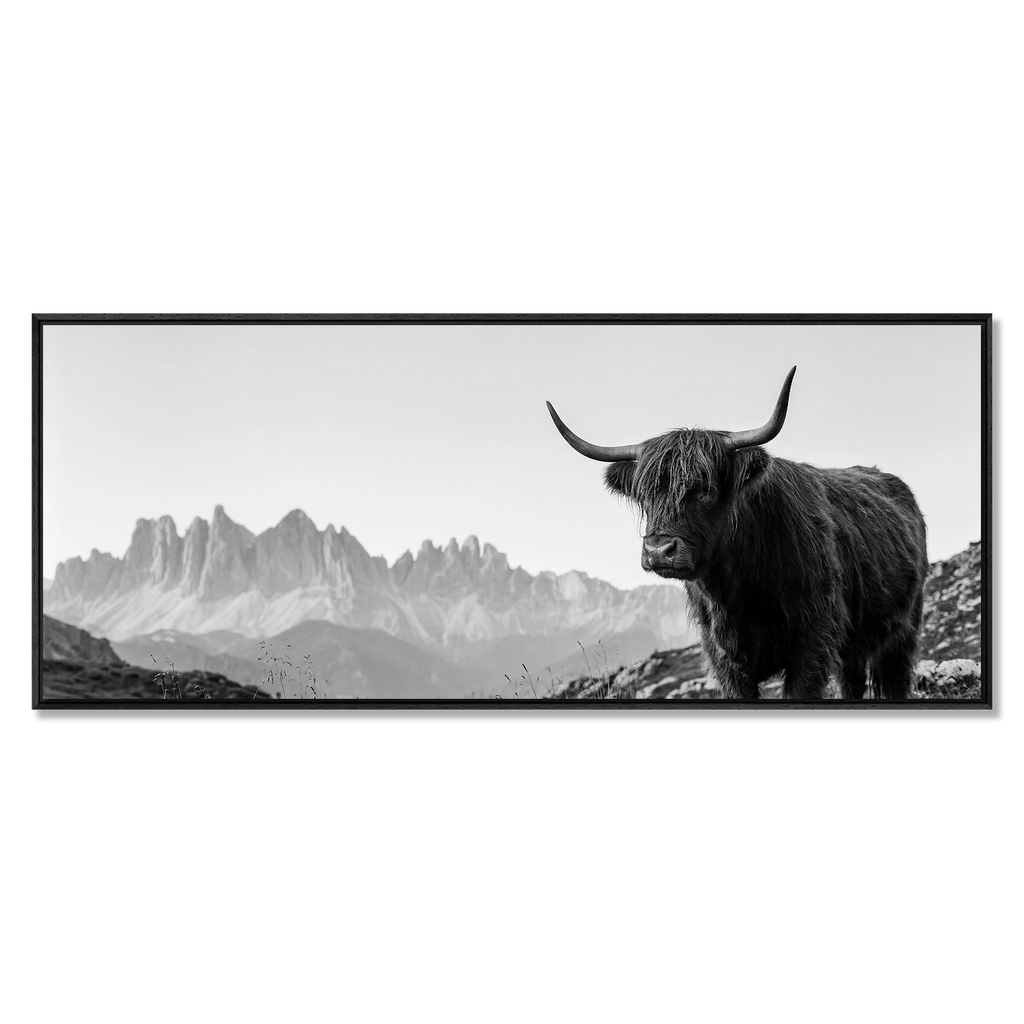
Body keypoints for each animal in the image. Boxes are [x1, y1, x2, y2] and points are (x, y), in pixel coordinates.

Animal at [546, 366, 928, 699]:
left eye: (705, 489)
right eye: (645, 495)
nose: (658, 550)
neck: (736, 590)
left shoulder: (813, 643)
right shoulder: (723, 659)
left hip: (903, 630)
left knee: (894, 678)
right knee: (852, 679)